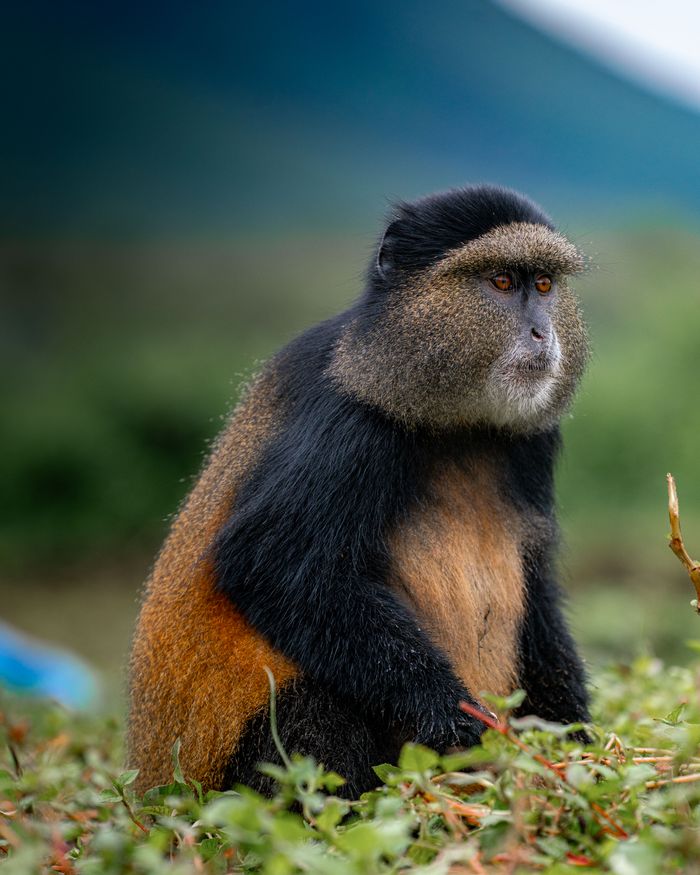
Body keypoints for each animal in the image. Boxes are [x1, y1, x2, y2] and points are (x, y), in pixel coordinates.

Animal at [128, 184, 591, 799]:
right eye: (500, 282)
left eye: (542, 285)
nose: (543, 333)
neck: (457, 420)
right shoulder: (350, 420)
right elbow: (272, 563)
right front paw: (452, 714)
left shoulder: (534, 441)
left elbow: (536, 588)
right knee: (310, 707)